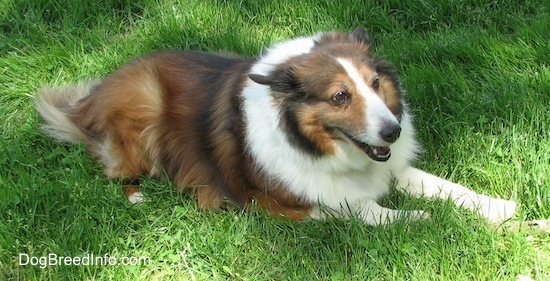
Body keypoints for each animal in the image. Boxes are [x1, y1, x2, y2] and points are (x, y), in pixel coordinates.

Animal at [35, 28, 516, 224]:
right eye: (340, 97)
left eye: (375, 83)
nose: (393, 132)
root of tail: (90, 99)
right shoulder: (282, 203)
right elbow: (371, 212)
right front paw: (430, 222)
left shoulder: (390, 168)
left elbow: (447, 187)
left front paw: (499, 209)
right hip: (143, 109)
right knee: (118, 173)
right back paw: (138, 196)